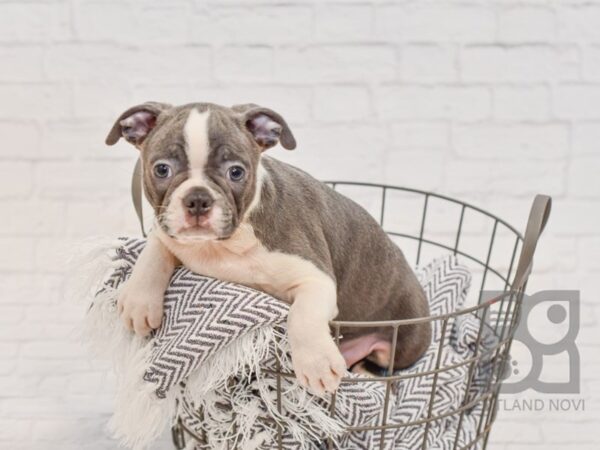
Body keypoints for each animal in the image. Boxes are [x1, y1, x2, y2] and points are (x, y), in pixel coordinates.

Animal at [106, 102, 432, 394]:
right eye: (162, 169)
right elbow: (156, 246)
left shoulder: (315, 278)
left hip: (404, 338)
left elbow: (302, 314)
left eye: (236, 172)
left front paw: (315, 362)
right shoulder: (169, 230)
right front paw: (138, 300)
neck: (225, 243)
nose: (198, 198)